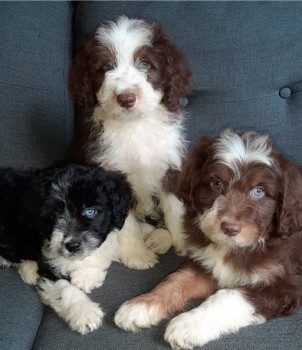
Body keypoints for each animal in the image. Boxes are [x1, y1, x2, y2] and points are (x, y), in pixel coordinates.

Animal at [0, 164, 132, 334]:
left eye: (90, 211)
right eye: (54, 215)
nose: (72, 245)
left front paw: (86, 277)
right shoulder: (47, 260)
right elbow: (63, 288)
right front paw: (86, 314)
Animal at [114, 129, 302, 350]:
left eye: (259, 191)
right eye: (216, 183)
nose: (230, 228)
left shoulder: (283, 287)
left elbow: (227, 297)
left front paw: (187, 325)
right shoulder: (204, 263)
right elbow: (175, 280)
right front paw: (141, 305)